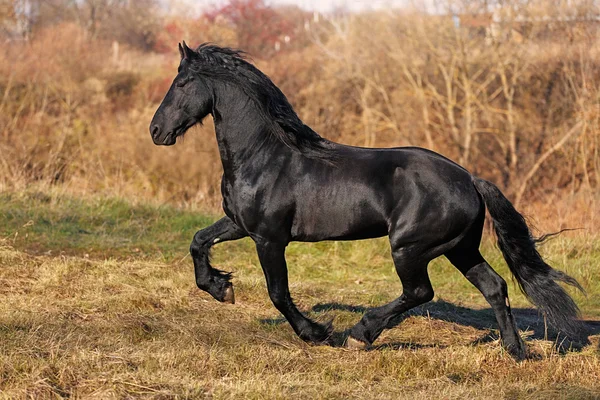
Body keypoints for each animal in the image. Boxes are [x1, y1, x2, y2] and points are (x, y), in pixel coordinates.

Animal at [149, 41, 580, 360]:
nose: (155, 131)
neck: (264, 157)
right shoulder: (241, 225)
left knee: (420, 292)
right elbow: (198, 242)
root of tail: (470, 179)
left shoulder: (269, 238)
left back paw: (361, 334)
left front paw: (318, 333)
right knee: (494, 286)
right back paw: (515, 351)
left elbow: (278, 293)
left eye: (183, 83)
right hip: (458, 248)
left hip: (410, 247)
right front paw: (220, 288)